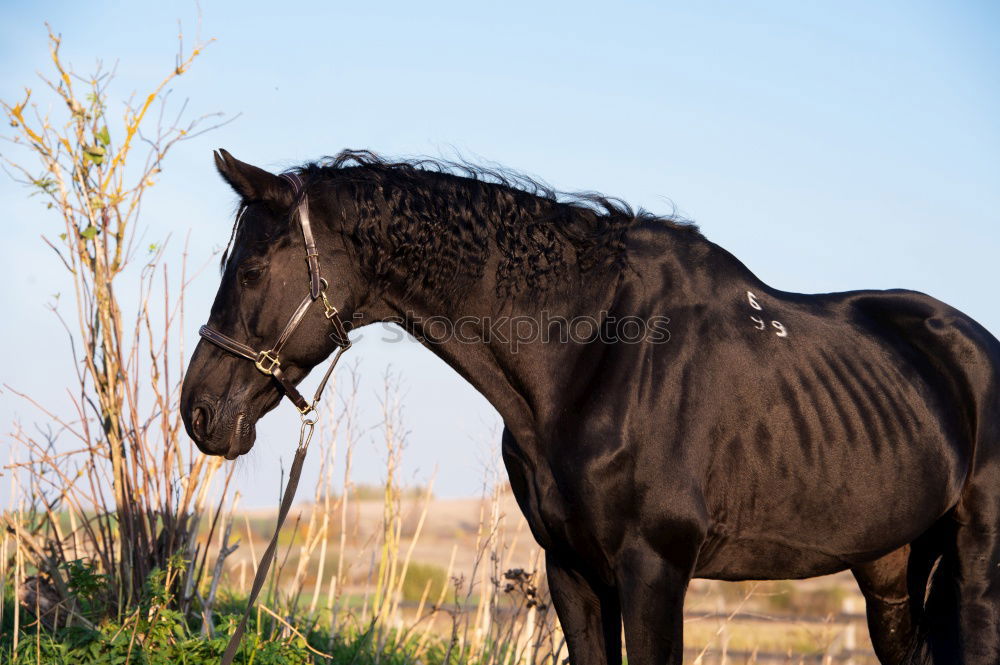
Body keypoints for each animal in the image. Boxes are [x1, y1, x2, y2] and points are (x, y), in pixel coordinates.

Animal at [180, 150, 1000, 664]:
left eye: (250, 269)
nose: (199, 412)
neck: (591, 354)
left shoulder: (654, 572)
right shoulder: (572, 570)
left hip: (973, 564)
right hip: (889, 569)